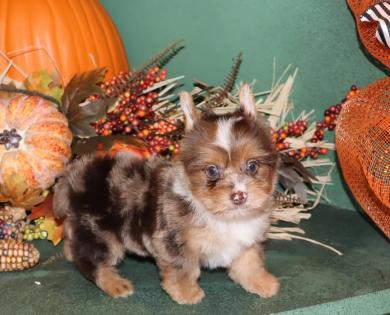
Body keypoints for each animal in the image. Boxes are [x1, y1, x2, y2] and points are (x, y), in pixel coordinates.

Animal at [54, 83, 280, 304]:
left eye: (252, 166)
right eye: (212, 170)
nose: (239, 196)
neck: (224, 216)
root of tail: (74, 173)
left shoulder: (247, 240)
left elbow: (249, 263)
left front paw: (262, 283)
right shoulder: (172, 241)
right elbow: (183, 268)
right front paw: (186, 294)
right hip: (99, 231)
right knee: (90, 259)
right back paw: (113, 283)